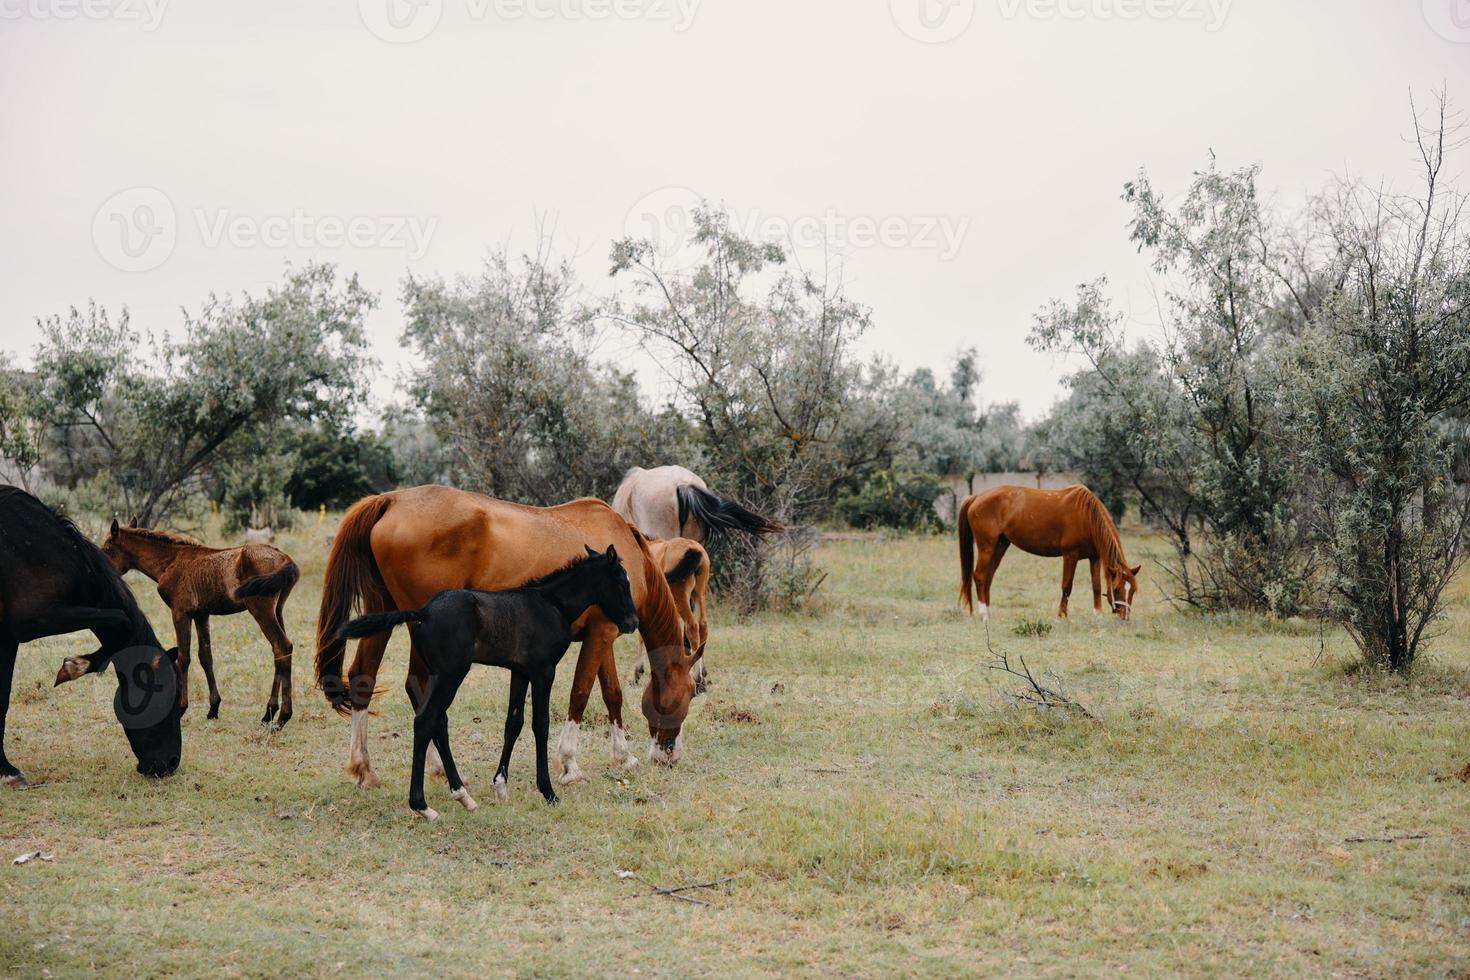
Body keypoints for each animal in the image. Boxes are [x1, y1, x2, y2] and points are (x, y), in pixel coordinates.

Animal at [102, 520, 299, 728]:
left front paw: (181, 708)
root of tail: (285, 559)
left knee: (281, 646)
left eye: (107, 548)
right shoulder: (201, 615)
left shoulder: (180, 613)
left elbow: (184, 657)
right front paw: (213, 707)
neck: (171, 561)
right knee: (281, 651)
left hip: (261, 610)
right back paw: (270, 713)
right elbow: (205, 657)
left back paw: (281, 717)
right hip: (278, 611)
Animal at [311, 481, 699, 787]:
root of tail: (391, 499)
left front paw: (623, 756)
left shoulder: (600, 635)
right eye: (689, 694)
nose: (670, 754)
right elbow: (580, 694)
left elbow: (611, 694)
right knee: (417, 687)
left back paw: (365, 769)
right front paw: (570, 765)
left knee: (363, 677)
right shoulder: (602, 633)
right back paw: (440, 771)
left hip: (382, 612)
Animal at [343, 543, 643, 822]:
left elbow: (514, 723)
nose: (632, 623)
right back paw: (423, 806)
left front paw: (500, 787)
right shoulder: (544, 671)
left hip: (439, 674)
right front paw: (548, 792)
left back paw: (463, 796)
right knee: (426, 720)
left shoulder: (520, 672)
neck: (551, 604)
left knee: (438, 721)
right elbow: (540, 724)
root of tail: (423, 612)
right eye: (622, 582)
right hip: (452, 674)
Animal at [958, 487, 1140, 625]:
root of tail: (976, 497)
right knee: (980, 576)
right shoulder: (1070, 555)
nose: (1125, 617)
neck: (1086, 516)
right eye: (1116, 589)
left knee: (988, 578)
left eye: (1132, 591)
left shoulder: (1094, 557)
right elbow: (1067, 586)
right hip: (986, 547)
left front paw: (1098, 615)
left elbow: (1096, 586)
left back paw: (988, 612)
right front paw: (1061, 617)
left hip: (1000, 546)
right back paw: (983, 614)